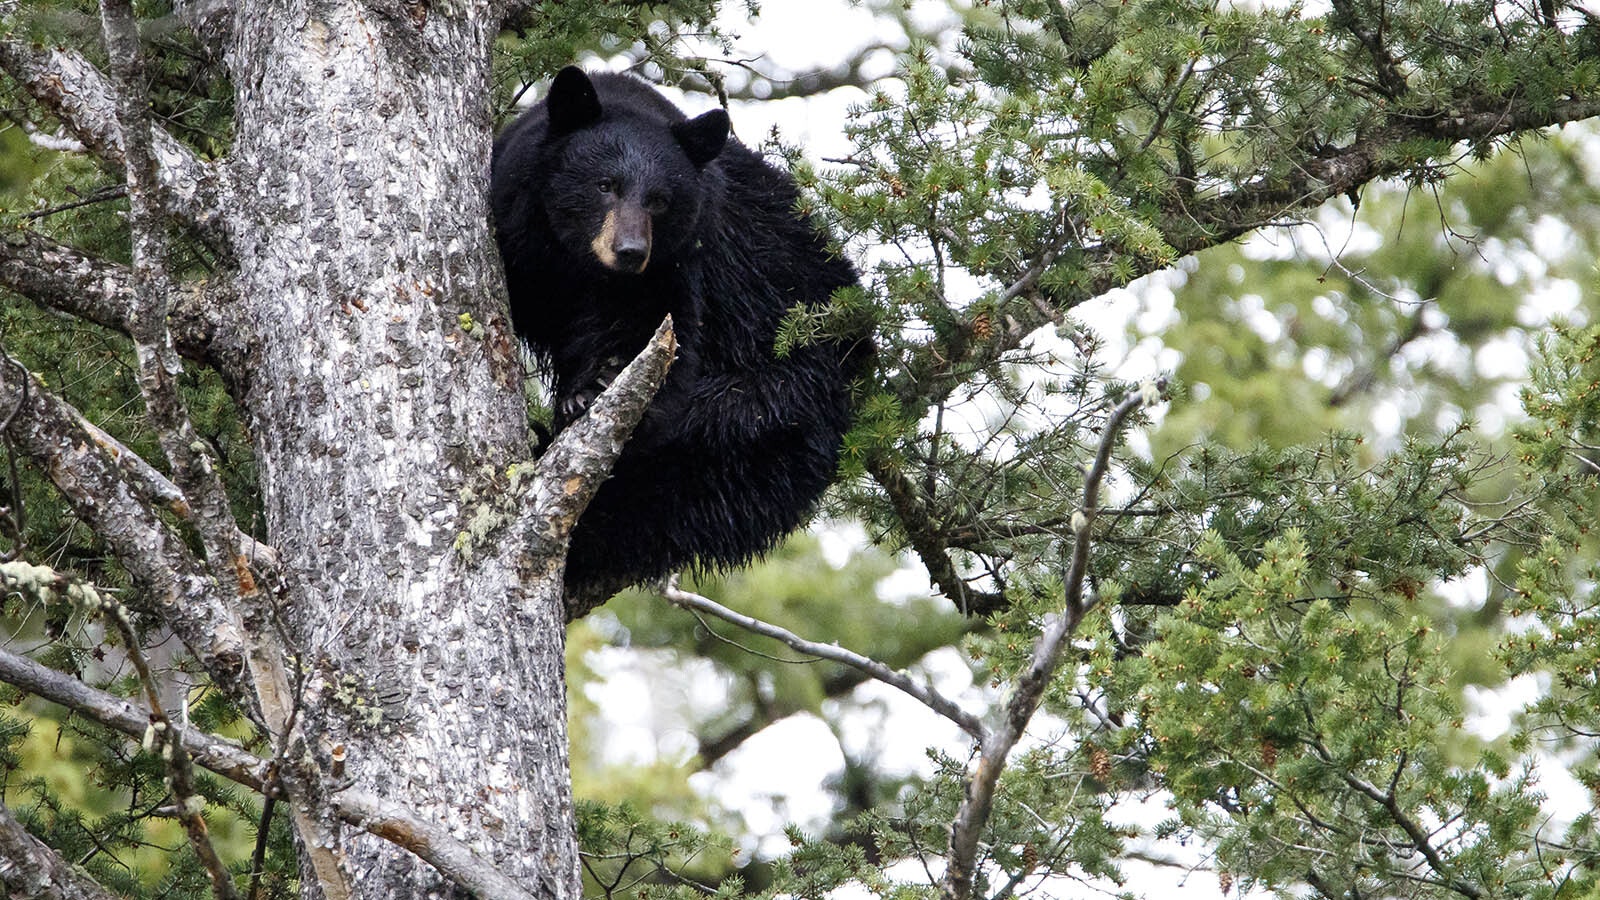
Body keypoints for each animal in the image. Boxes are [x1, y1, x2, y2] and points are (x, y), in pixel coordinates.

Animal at [492, 66, 870, 598]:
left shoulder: (674, 265)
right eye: (605, 184)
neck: (577, 266)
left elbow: (648, 332)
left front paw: (592, 389)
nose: (629, 250)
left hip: (771, 404)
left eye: (660, 200)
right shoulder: (518, 230)